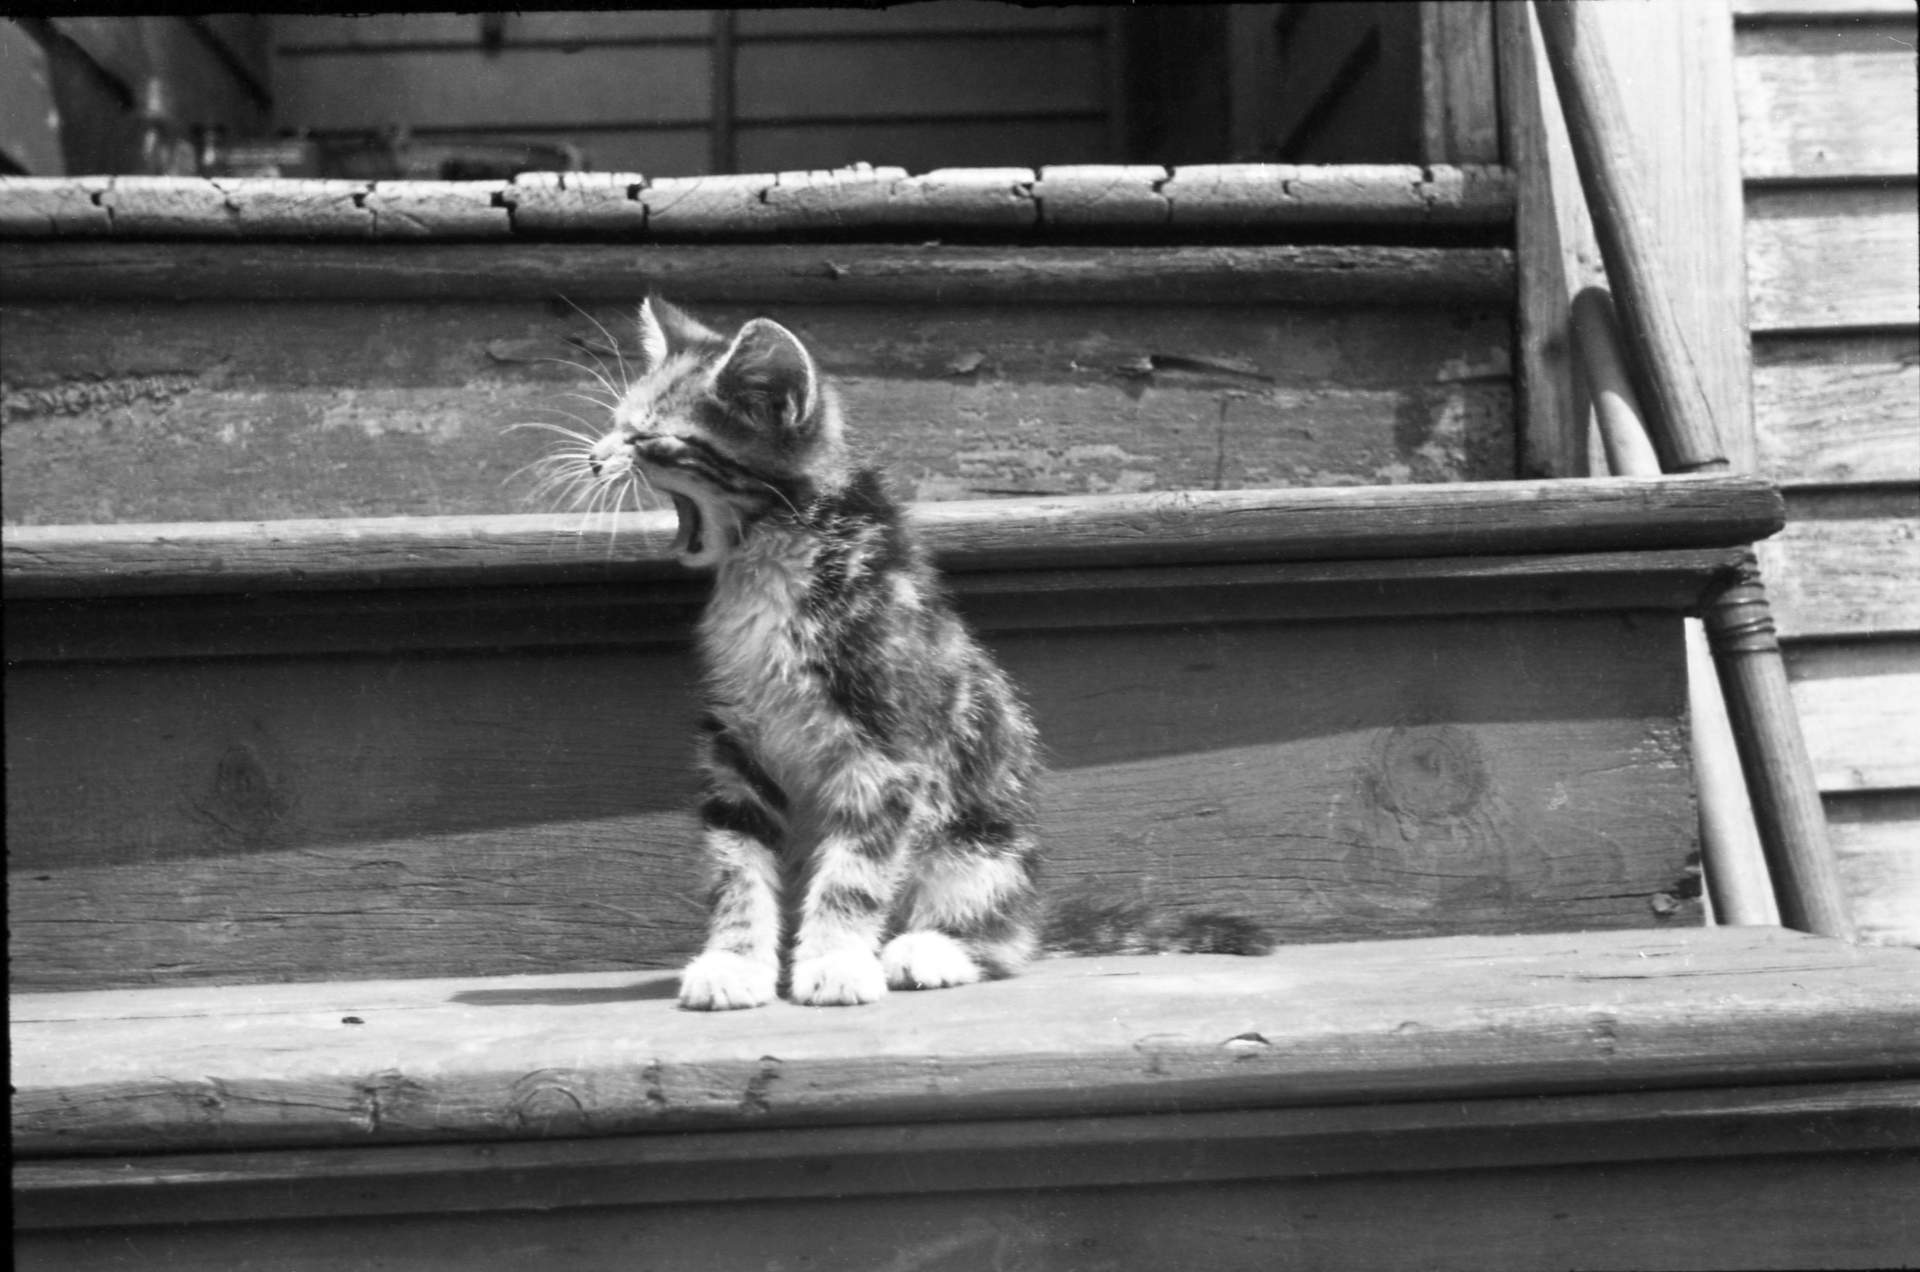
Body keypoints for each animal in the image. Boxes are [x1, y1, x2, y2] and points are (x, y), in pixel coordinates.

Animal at [579, 293, 1044, 1014]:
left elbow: (855, 869)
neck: (769, 564)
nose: (595, 459)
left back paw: (928, 949)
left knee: (1007, 934)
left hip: (982, 837)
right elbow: (736, 866)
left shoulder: (888, 752)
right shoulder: (734, 748)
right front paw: (735, 962)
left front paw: (835, 961)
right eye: (616, 425)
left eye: (648, 437)